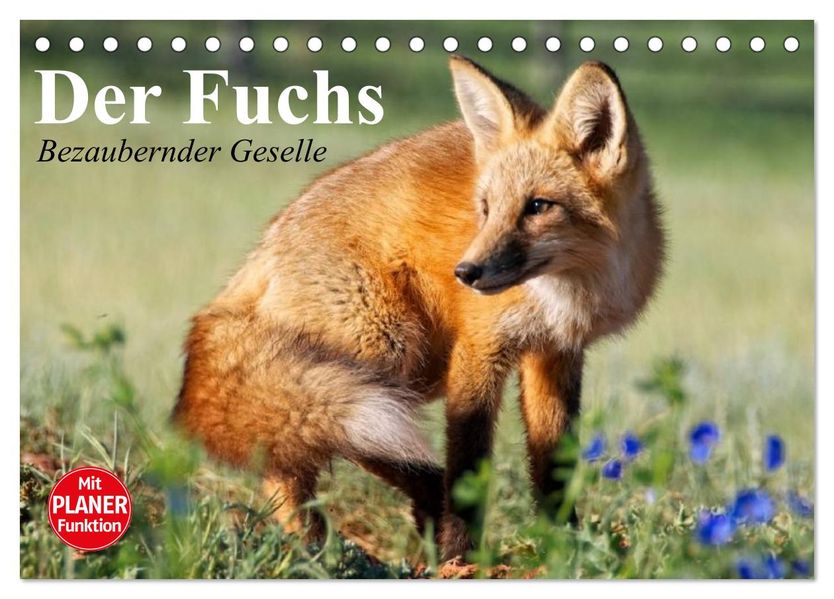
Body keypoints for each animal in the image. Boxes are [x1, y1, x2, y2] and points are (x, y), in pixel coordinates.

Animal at [173, 56, 664, 561]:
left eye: (538, 206)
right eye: (486, 208)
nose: (466, 273)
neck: (567, 292)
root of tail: (262, 249)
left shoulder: (555, 353)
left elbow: (554, 468)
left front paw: (565, 547)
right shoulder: (478, 350)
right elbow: (469, 463)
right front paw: (461, 558)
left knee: (290, 452)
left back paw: (326, 546)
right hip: (387, 354)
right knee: (306, 448)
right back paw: (332, 547)